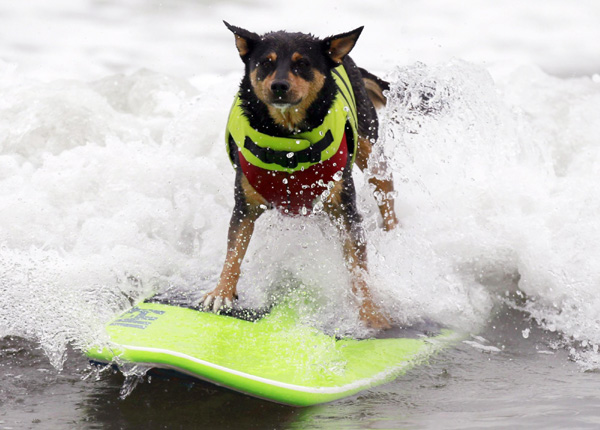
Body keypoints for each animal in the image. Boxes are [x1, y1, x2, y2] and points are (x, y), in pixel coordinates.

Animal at [202, 21, 398, 328]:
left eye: (302, 63)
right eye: (265, 62)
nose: (279, 85)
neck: (288, 141)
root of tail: (346, 59)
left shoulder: (344, 206)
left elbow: (358, 266)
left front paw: (370, 312)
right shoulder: (245, 204)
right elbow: (234, 250)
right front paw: (221, 291)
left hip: (369, 143)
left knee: (384, 186)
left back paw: (394, 234)